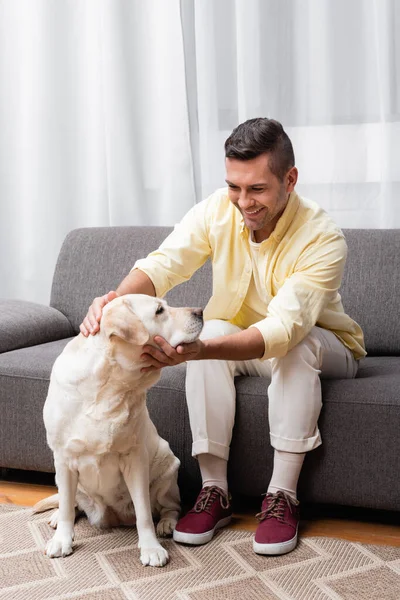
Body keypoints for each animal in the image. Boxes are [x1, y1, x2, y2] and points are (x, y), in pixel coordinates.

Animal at [32, 296, 203, 568]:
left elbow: (144, 513)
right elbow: (67, 504)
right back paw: (58, 516)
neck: (110, 386)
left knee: (171, 506)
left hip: (167, 471)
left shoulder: (134, 460)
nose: (200, 312)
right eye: (159, 310)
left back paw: (167, 524)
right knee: (69, 501)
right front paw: (62, 540)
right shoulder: (63, 458)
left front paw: (151, 548)